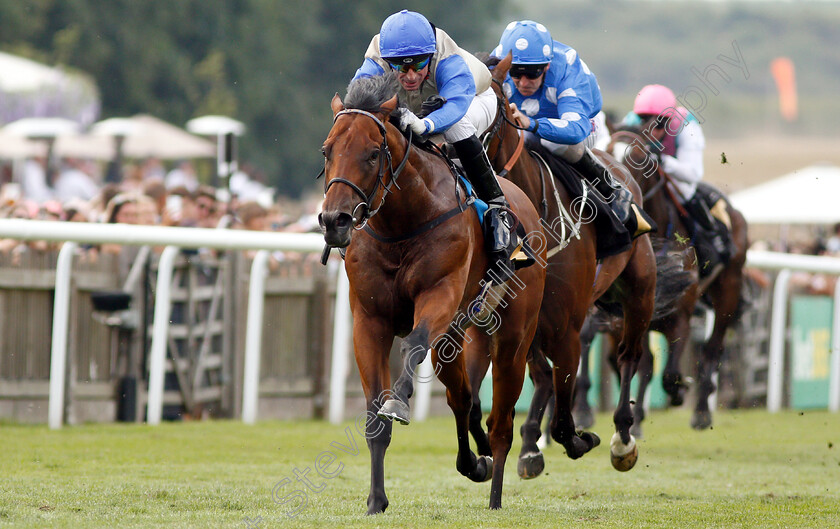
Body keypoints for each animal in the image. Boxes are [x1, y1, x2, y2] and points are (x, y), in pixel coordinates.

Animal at [318, 73, 548, 512]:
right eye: (327, 151)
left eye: (372, 154)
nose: (334, 220)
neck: (402, 224)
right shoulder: (369, 321)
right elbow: (375, 419)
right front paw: (376, 501)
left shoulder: (439, 295)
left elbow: (412, 345)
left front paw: (399, 401)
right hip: (455, 341)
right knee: (462, 399)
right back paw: (475, 463)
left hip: (513, 338)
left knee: (502, 423)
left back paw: (495, 496)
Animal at [470, 54, 660, 478]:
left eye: (494, 110)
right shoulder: (523, 317)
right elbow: (539, 377)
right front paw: (527, 445)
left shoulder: (565, 323)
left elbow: (564, 390)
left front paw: (574, 436)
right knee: (545, 373)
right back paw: (530, 443)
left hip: (639, 289)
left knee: (629, 355)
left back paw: (623, 436)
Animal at [576, 127, 752, 428]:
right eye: (606, 150)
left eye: (640, 157)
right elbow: (640, 362)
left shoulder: (679, 310)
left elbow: (669, 372)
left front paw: (679, 392)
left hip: (728, 290)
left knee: (712, 348)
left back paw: (702, 411)